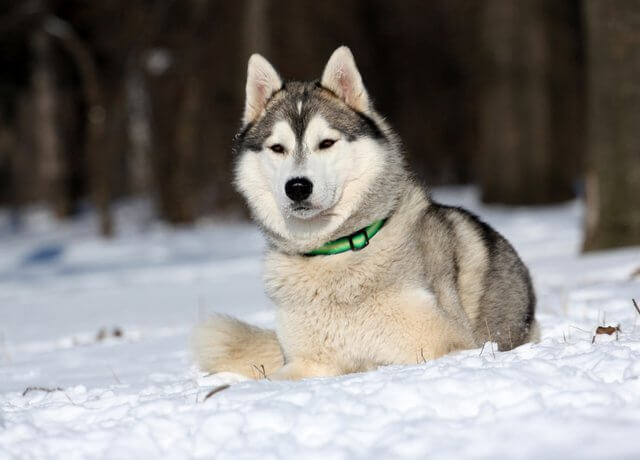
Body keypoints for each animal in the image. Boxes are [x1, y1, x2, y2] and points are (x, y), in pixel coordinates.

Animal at [192, 45, 536, 380]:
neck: (334, 254)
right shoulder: (306, 362)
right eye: (278, 148)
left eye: (326, 143)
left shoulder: (448, 344)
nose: (298, 187)